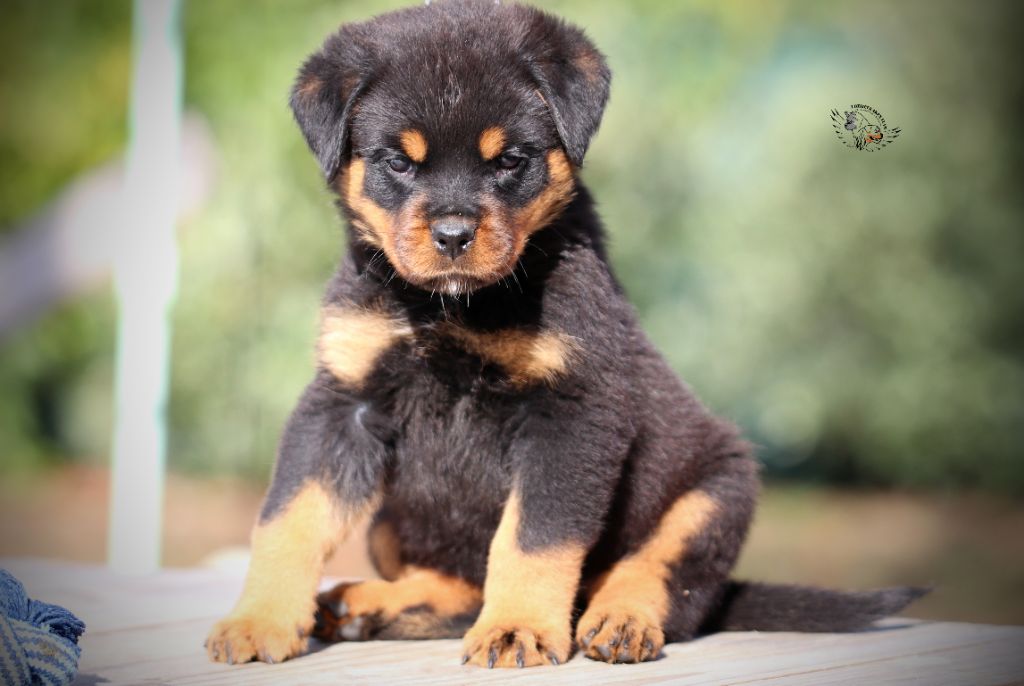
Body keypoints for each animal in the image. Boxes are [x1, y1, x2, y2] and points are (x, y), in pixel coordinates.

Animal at [205, 0, 925, 668]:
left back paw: (620, 621)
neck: (454, 309)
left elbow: (533, 537)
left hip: (719, 488)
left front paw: (516, 629)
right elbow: (288, 517)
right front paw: (257, 621)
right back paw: (366, 605)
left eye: (510, 160)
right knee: (458, 584)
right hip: (391, 520)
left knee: (665, 581)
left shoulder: (572, 412)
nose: (453, 235)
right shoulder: (343, 401)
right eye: (398, 164)